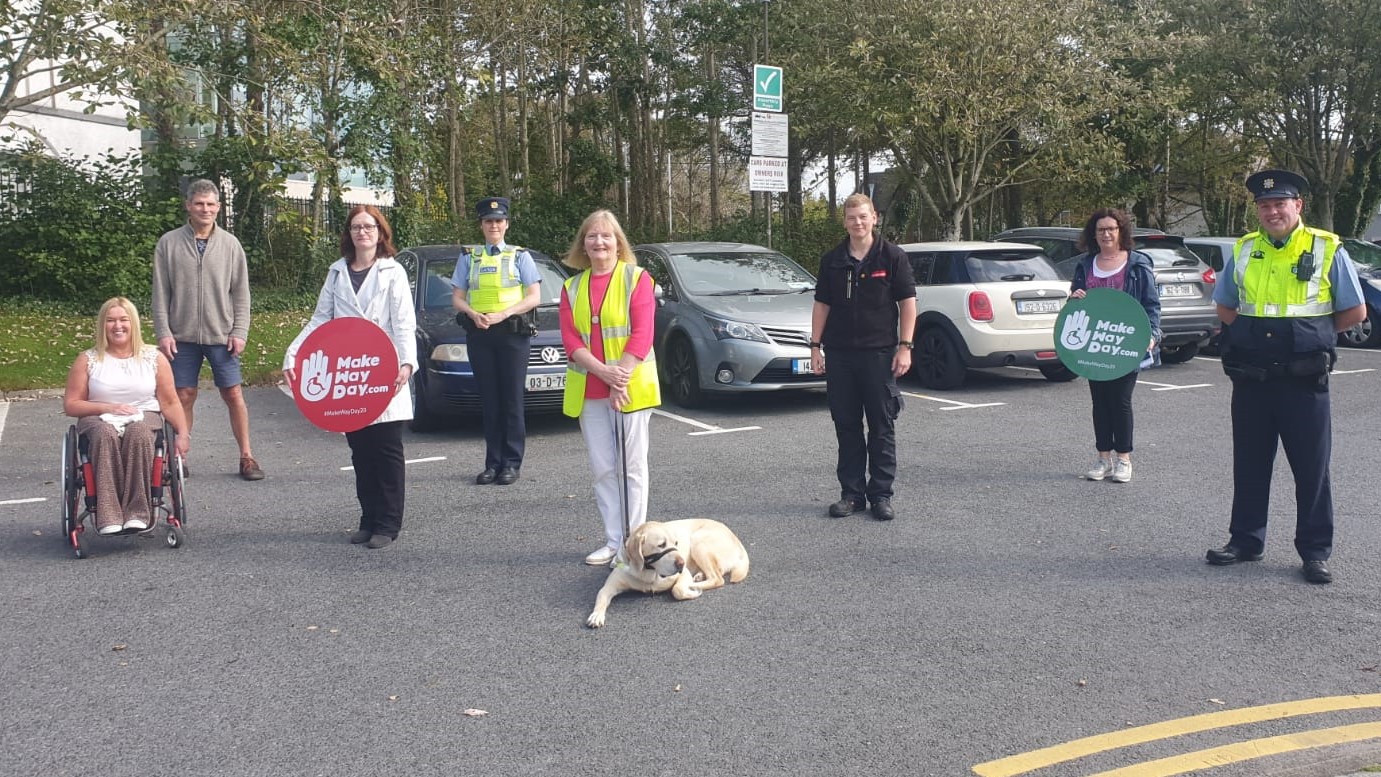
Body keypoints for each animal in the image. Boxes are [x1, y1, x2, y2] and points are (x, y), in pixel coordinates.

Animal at [588, 518, 751, 629]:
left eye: (676, 543)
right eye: (661, 545)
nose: (681, 563)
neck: (648, 571)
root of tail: (738, 542)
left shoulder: (683, 574)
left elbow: (677, 590)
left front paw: (691, 591)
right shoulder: (609, 586)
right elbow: (601, 597)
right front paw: (596, 616)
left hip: (698, 541)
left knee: (718, 578)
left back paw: (695, 583)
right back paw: (699, 576)